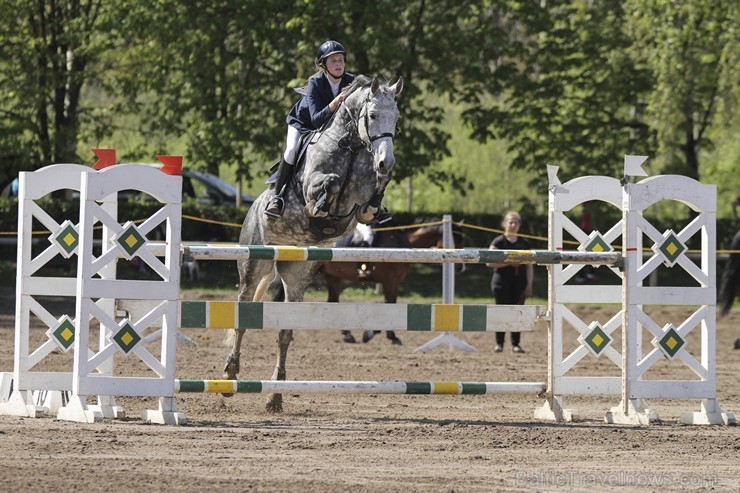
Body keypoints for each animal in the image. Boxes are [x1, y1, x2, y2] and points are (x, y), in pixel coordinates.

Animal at [224, 75, 402, 410]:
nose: (386, 161)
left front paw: (377, 198)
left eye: (396, 119)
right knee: (242, 316)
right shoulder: (314, 183)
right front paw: (320, 207)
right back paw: (229, 375)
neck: (352, 147)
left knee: (285, 333)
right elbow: (329, 183)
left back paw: (275, 397)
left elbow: (372, 192)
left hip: (297, 275)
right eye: (372, 115)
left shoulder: (358, 198)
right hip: (254, 264)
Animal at [316, 219, 462, 342]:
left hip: (333, 277)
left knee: (333, 301)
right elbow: (389, 304)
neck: (403, 245)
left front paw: (390, 335)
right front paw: (371, 334)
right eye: (453, 240)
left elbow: (392, 303)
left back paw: (347, 334)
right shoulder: (389, 281)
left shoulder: (395, 282)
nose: (460, 267)